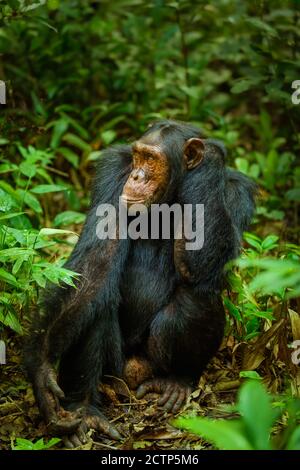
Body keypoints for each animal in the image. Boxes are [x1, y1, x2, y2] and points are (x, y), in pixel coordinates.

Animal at [24, 118, 256, 448]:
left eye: (151, 159)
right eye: (137, 156)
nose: (136, 175)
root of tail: (133, 375)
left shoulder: (236, 192)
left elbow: (203, 263)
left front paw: (209, 155)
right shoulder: (112, 174)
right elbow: (97, 261)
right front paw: (42, 373)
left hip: (152, 363)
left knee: (197, 291)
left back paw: (175, 382)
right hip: (114, 369)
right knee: (96, 299)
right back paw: (83, 409)